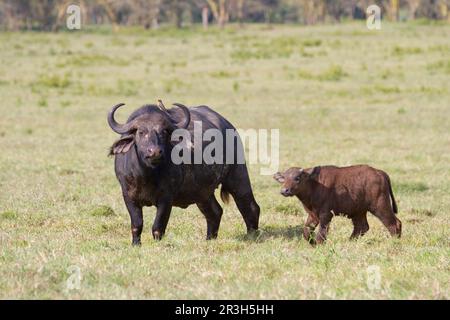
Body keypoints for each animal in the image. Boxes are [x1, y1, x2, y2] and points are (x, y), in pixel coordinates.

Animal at [107, 102, 260, 245]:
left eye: (163, 132)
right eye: (141, 132)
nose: (155, 151)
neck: (146, 175)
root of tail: (227, 125)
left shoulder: (166, 199)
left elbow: (158, 227)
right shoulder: (128, 197)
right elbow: (136, 225)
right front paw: (136, 244)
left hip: (237, 175)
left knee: (250, 206)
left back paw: (252, 235)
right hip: (202, 192)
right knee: (215, 212)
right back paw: (209, 238)